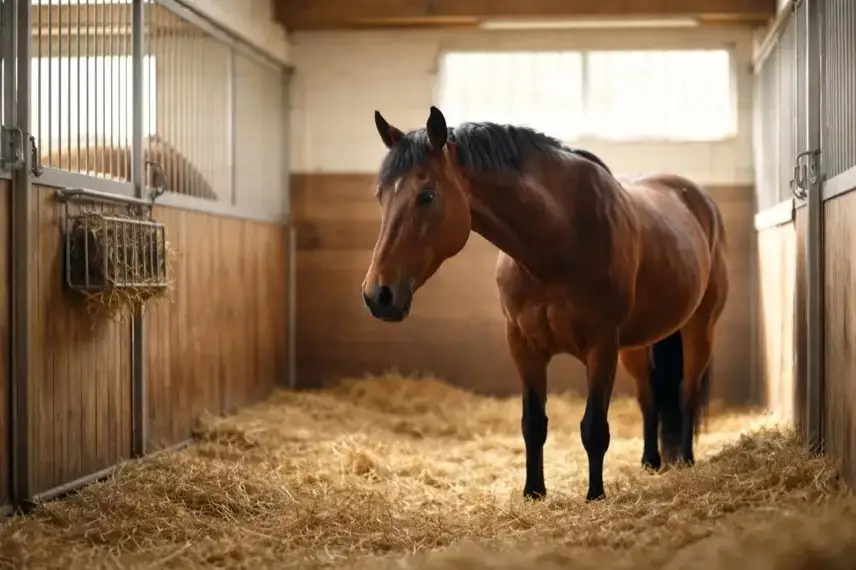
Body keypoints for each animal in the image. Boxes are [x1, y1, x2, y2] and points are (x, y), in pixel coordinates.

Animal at [360, 106, 729, 502]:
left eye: (427, 195)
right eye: (381, 196)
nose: (377, 294)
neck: (558, 241)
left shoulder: (602, 344)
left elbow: (594, 428)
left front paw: (595, 496)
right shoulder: (524, 345)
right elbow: (533, 424)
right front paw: (533, 492)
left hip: (698, 329)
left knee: (686, 392)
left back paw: (686, 459)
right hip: (636, 344)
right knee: (650, 397)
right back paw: (650, 462)